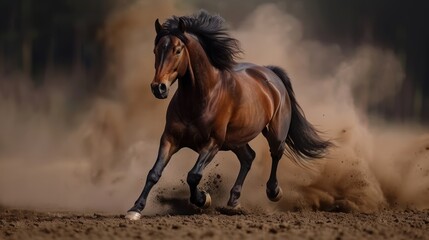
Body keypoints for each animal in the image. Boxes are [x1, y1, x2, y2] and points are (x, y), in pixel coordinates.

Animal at [123, 11, 332, 221]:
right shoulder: (170, 138)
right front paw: (135, 209)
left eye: (178, 50)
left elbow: (193, 175)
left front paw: (203, 199)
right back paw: (233, 202)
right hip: (235, 140)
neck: (201, 96)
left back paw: (273, 192)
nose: (158, 88)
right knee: (248, 157)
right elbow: (154, 172)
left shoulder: (212, 143)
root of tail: (270, 73)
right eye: (156, 50)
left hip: (275, 133)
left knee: (275, 154)